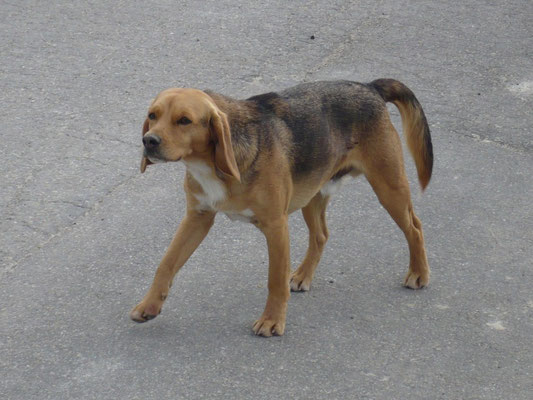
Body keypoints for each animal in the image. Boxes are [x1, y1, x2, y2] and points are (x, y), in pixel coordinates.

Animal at [130, 77, 432, 334]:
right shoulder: (197, 218)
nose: (149, 141)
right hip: (313, 195)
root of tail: (369, 86)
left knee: (415, 227)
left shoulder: (275, 226)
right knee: (321, 235)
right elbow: (166, 263)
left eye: (184, 120)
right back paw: (303, 275)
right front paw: (149, 305)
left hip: (389, 188)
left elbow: (274, 280)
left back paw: (418, 273)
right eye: (152, 115)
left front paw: (272, 321)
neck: (210, 164)